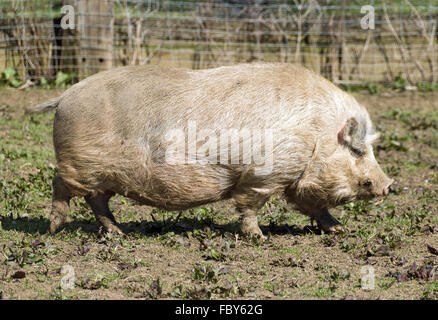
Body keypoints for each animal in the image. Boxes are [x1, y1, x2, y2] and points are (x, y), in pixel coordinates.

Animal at [30, 63, 394, 238]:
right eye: (358, 150)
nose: (390, 185)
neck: (317, 133)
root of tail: (64, 97)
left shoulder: (294, 179)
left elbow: (314, 206)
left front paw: (339, 230)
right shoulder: (264, 174)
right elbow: (250, 205)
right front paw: (258, 237)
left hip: (104, 175)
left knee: (97, 200)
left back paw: (118, 233)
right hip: (80, 163)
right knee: (60, 185)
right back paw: (54, 228)